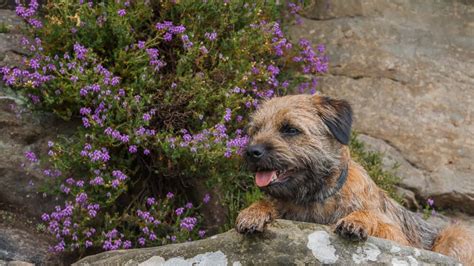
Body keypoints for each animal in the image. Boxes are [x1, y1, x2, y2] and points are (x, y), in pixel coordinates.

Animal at [237, 93, 474, 264]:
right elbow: (266, 202)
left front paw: (357, 220)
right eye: (255, 130)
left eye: (290, 129)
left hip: (457, 235)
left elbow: (374, 218)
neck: (316, 197)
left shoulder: (399, 240)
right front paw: (253, 211)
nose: (252, 151)